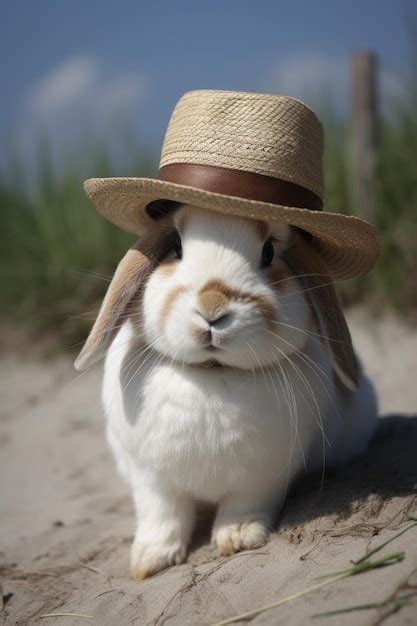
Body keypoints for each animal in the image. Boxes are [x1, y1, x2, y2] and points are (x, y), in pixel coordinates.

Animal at [75, 202, 376, 576]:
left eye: (269, 251)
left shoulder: (262, 476)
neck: (212, 376)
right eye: (176, 247)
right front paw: (150, 561)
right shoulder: (152, 479)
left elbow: (242, 506)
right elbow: (162, 515)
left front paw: (239, 537)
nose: (212, 308)